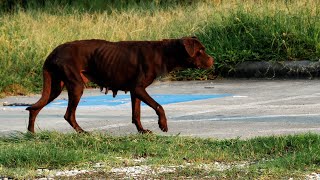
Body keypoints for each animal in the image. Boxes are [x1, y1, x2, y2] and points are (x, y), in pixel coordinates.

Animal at [26, 36, 214, 133]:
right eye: (200, 50)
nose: (212, 60)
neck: (164, 52)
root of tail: (54, 52)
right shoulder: (138, 89)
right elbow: (159, 106)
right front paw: (163, 124)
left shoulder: (135, 91)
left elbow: (136, 114)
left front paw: (142, 131)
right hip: (76, 86)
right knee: (68, 115)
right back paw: (82, 132)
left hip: (55, 88)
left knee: (35, 109)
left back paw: (31, 134)